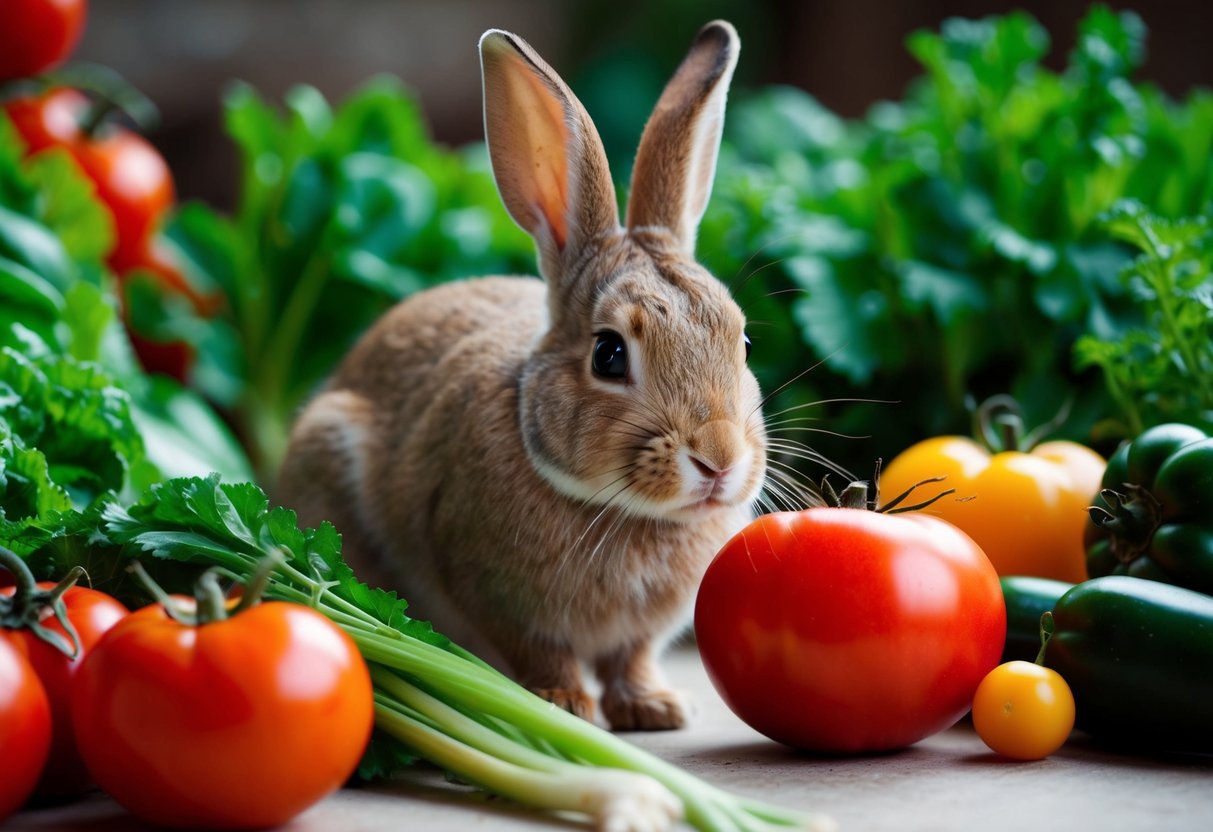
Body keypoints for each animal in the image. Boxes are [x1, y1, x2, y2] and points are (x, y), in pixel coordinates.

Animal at [276, 20, 766, 731]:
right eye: (609, 355)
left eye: (743, 340)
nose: (720, 460)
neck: (623, 511)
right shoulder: (495, 595)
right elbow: (543, 652)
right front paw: (566, 706)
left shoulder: (639, 634)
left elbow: (632, 658)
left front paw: (654, 708)